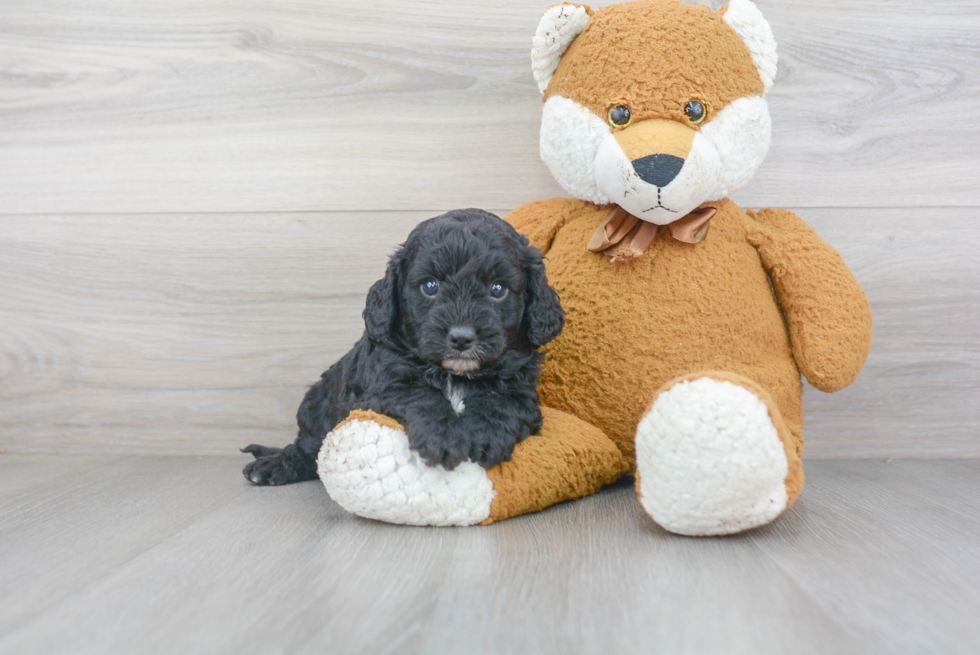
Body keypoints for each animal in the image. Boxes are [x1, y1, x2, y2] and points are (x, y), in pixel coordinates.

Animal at [244, 208, 564, 484]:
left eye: (498, 289)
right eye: (430, 286)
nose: (461, 338)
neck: (454, 374)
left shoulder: (522, 391)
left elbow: (501, 401)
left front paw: (485, 435)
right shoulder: (380, 387)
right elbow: (419, 394)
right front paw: (443, 439)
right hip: (316, 406)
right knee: (309, 448)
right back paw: (273, 466)